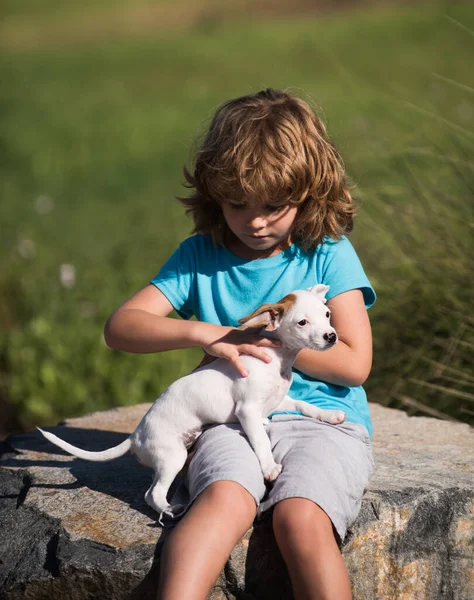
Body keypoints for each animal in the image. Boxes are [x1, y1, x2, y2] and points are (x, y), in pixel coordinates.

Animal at [39, 286, 344, 520]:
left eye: (327, 315)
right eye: (302, 323)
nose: (331, 336)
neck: (280, 358)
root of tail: (136, 434)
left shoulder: (279, 399)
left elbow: (304, 406)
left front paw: (329, 415)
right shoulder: (246, 408)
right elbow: (259, 441)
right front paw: (269, 467)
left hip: (168, 458)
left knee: (151, 488)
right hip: (173, 456)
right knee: (153, 493)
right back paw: (170, 510)